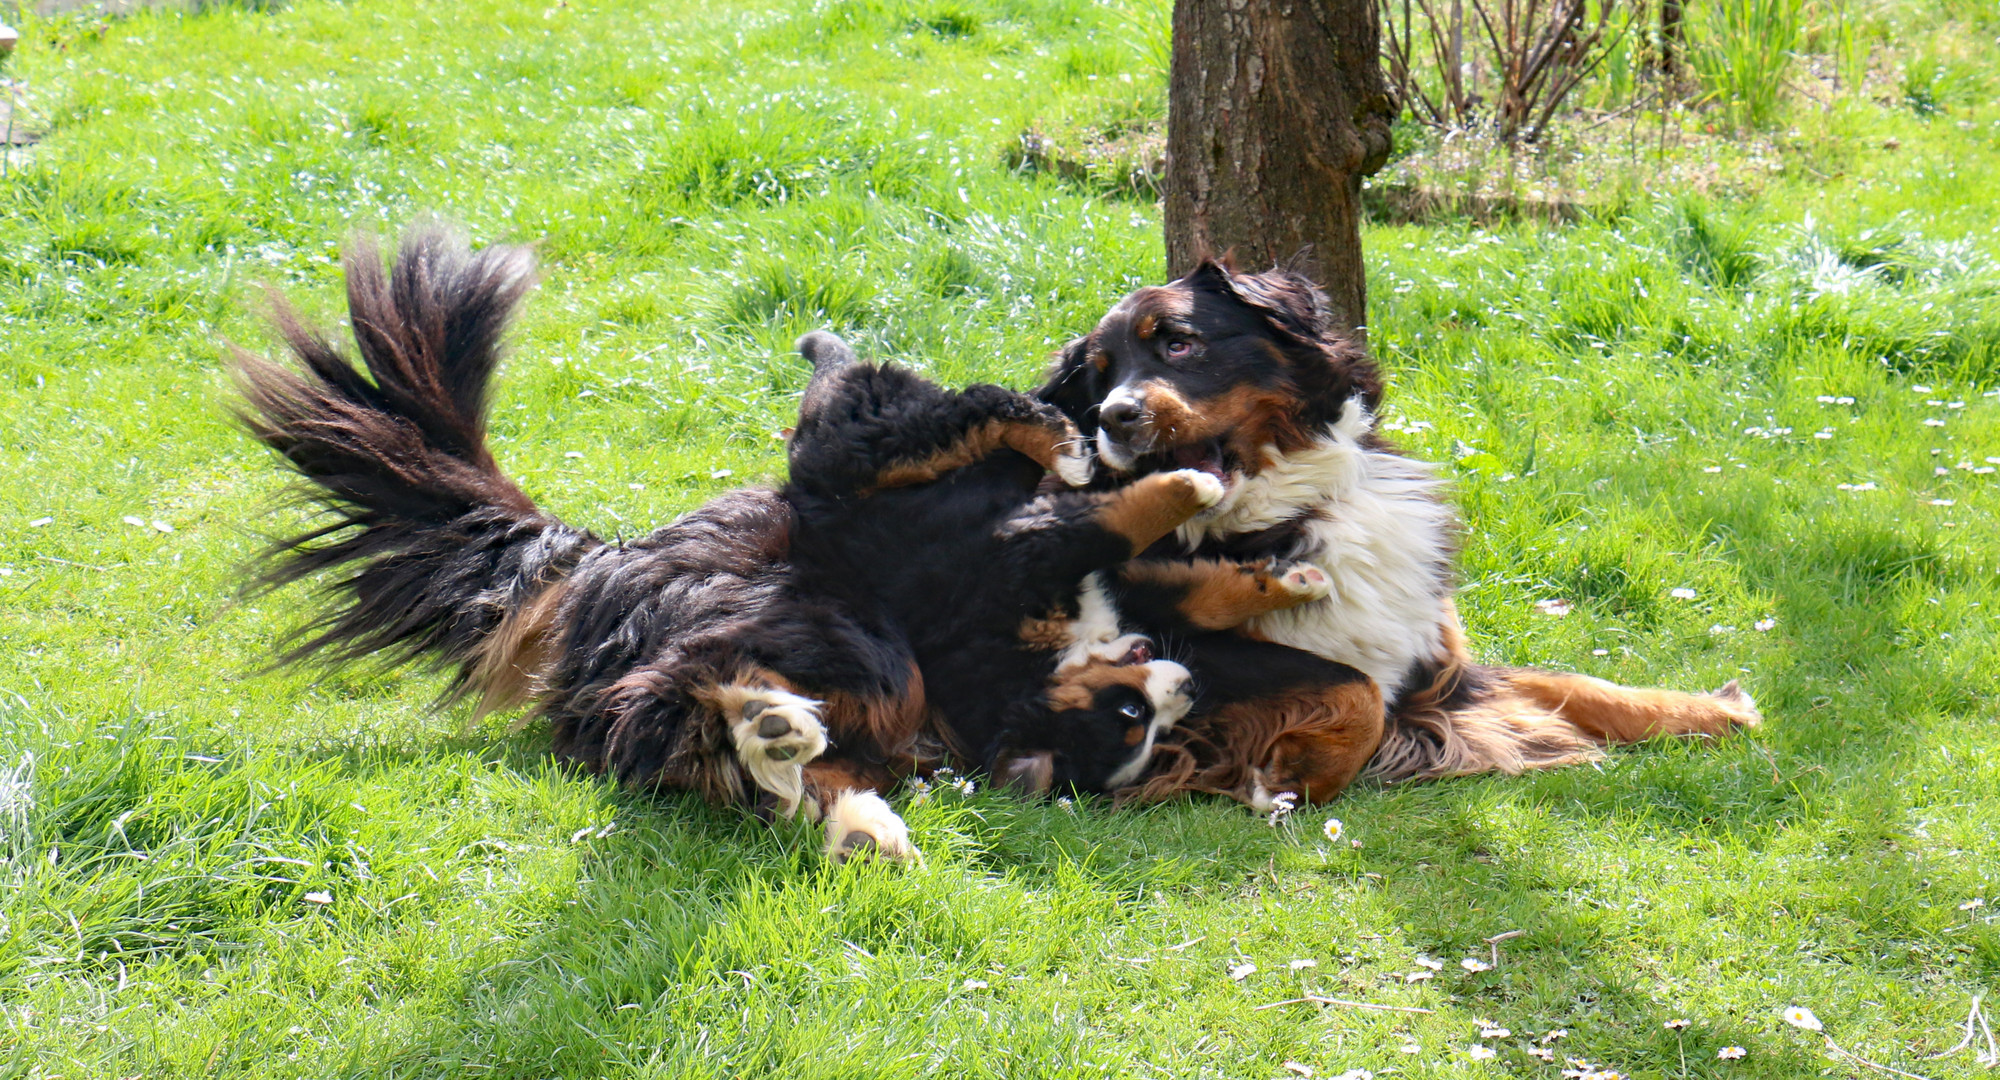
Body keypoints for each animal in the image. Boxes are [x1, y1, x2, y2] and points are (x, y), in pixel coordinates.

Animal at [1040, 258, 1760, 804]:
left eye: (1178, 342)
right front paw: (1302, 768)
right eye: (1099, 377)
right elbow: (1351, 686)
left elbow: (1581, 685)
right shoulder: (1167, 648)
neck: (1297, 512)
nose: (1114, 416)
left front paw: (1711, 709)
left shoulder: (1434, 657)